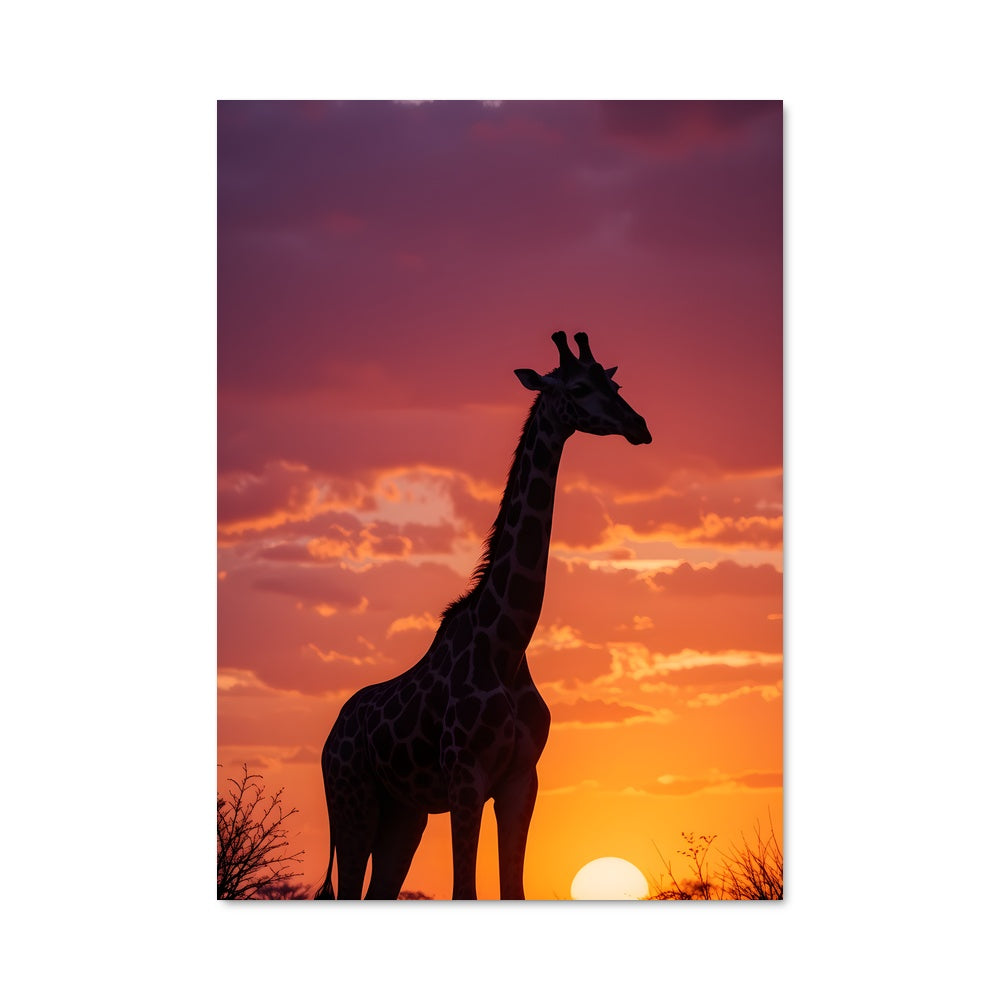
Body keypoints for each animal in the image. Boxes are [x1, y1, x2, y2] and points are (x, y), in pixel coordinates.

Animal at [316, 331, 652, 900]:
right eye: (578, 388)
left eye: (616, 385)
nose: (639, 426)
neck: (508, 644)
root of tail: (328, 738)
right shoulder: (466, 780)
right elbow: (464, 889)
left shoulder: (521, 781)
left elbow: (513, 888)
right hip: (352, 804)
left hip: (403, 815)